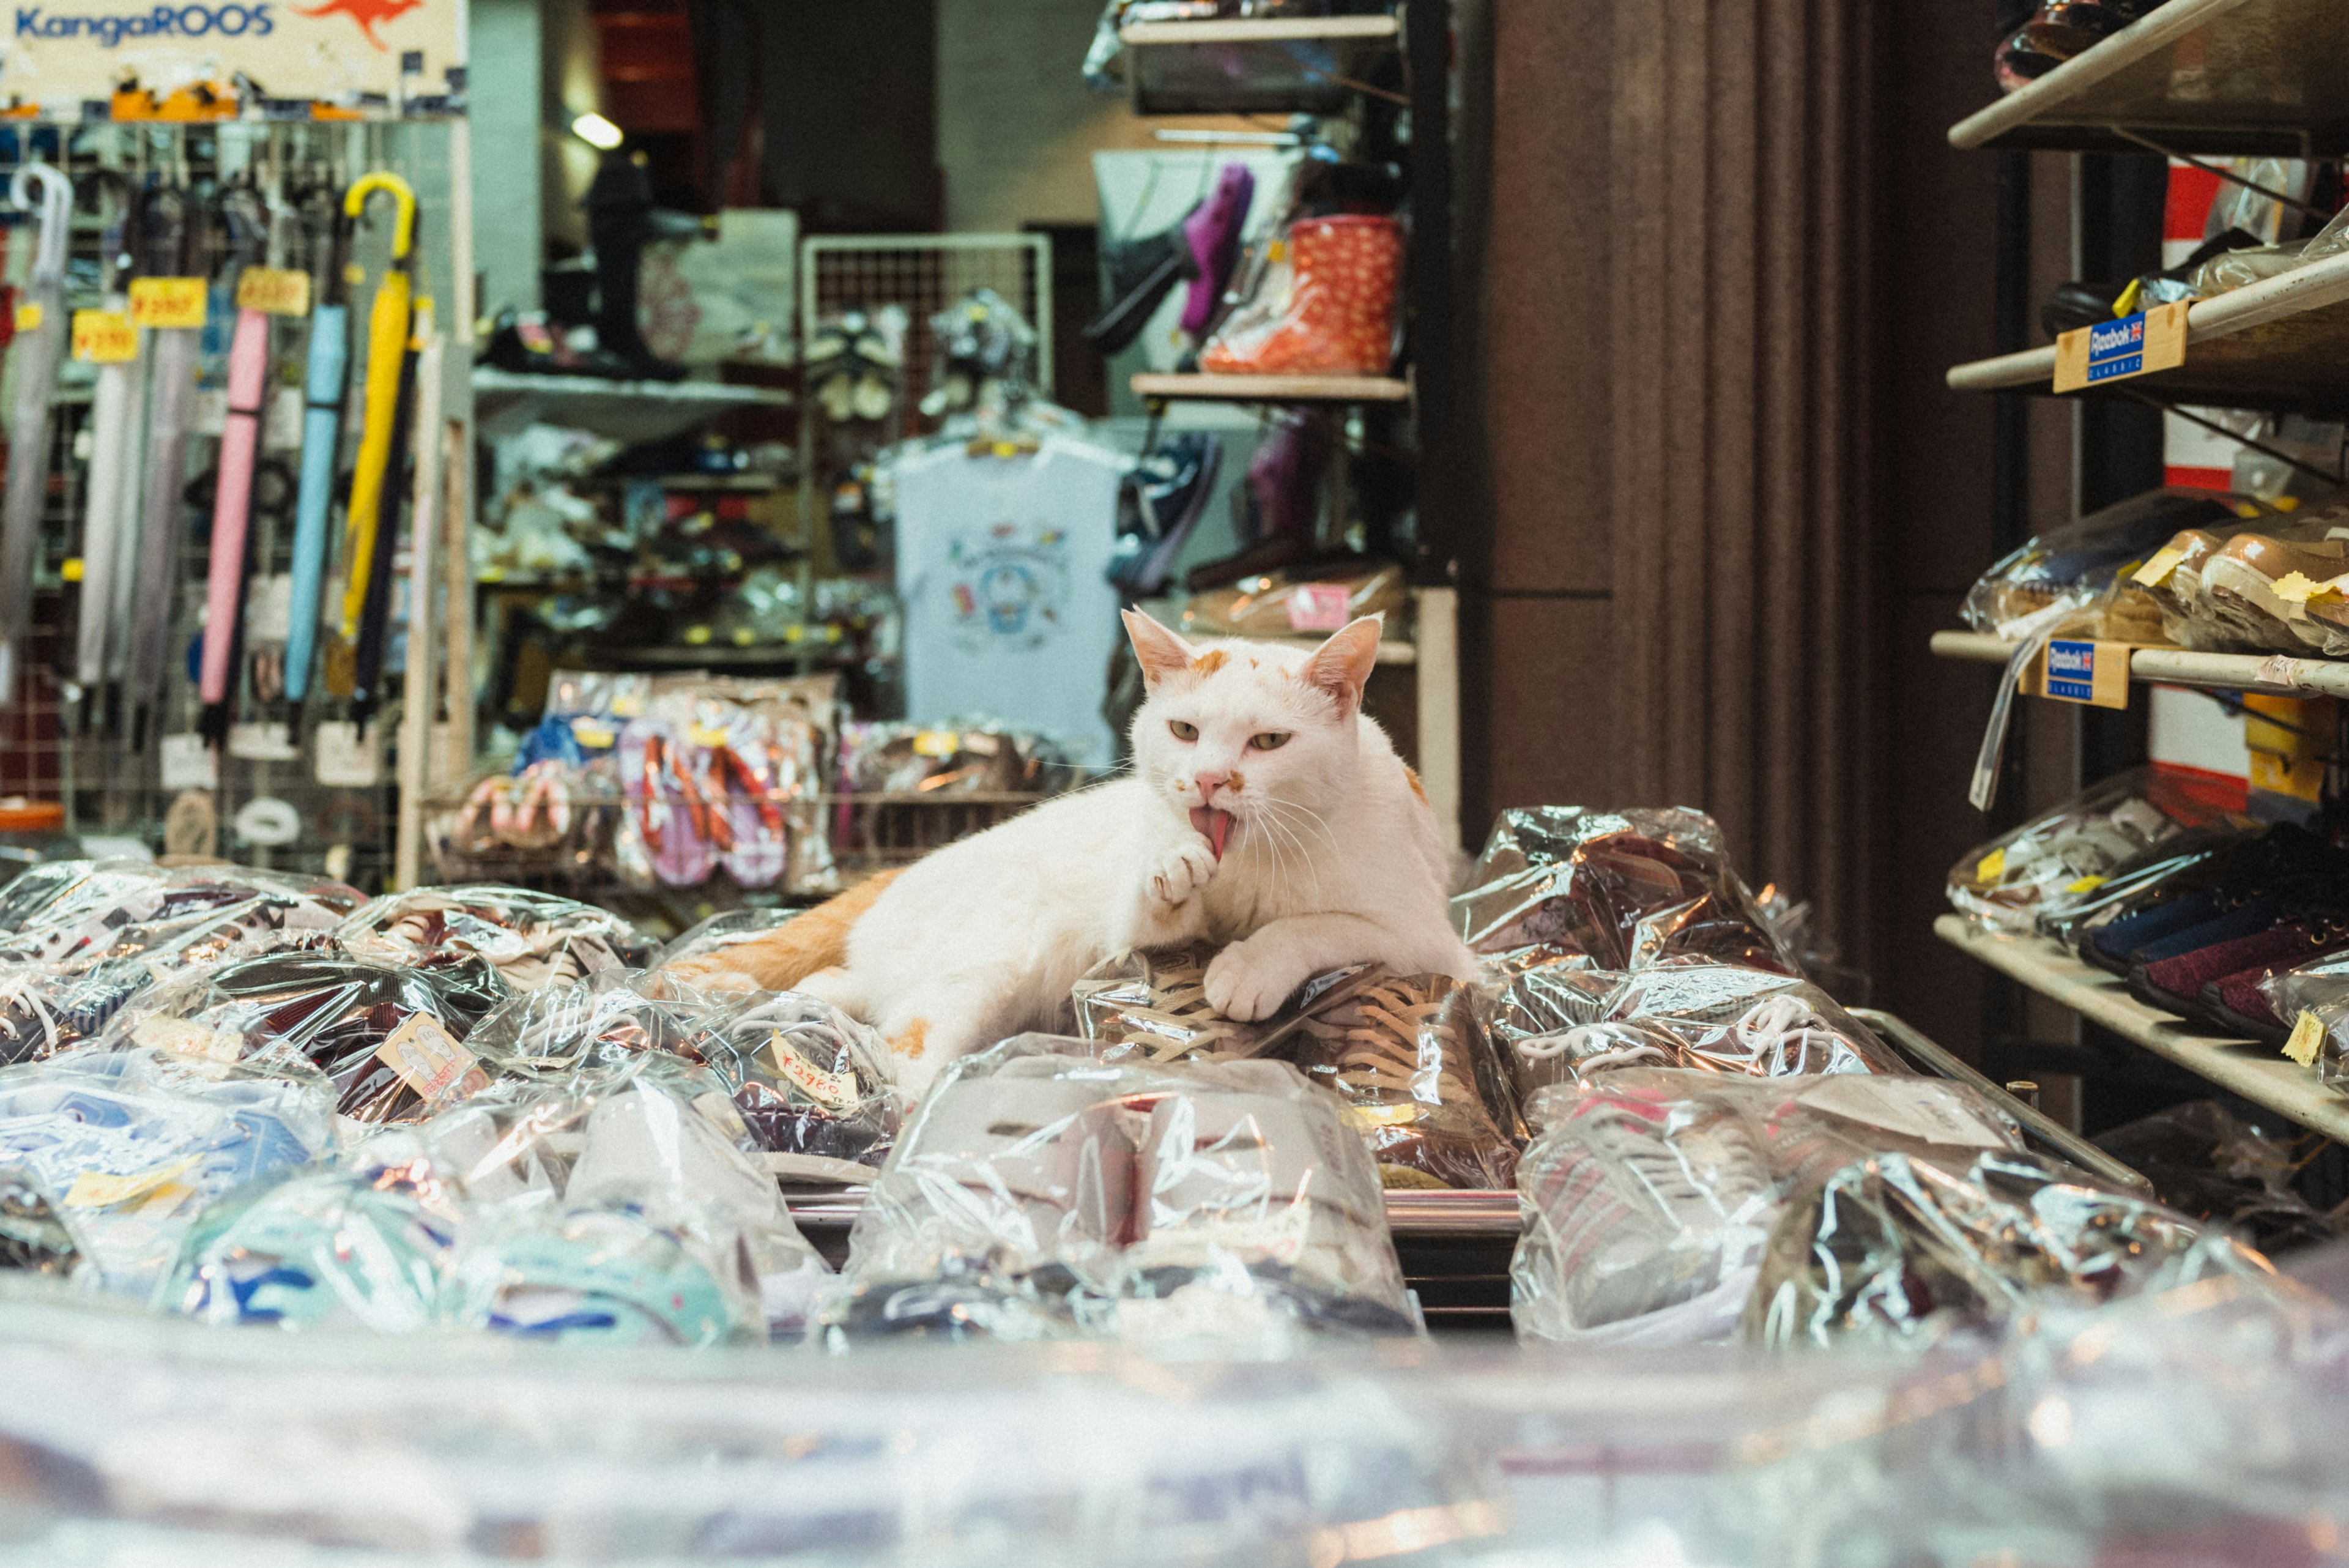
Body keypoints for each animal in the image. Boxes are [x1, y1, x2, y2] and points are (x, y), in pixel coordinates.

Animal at [667, 606, 1466, 1100]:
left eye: (1269, 742)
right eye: (1184, 730)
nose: (1210, 779)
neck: (1251, 868)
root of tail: (899, 871)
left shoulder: (1428, 936)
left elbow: (1319, 925)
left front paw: (1248, 967)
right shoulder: (1136, 933)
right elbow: (1154, 912)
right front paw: (1171, 869)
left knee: (847, 993)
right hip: (987, 965)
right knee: (901, 1042)